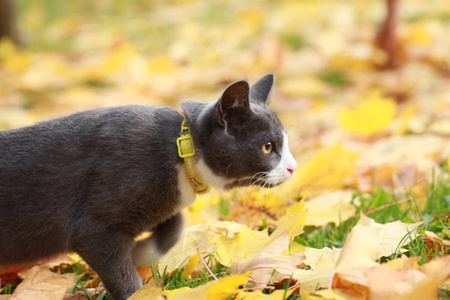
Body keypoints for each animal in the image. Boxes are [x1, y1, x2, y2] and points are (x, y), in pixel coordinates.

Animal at [0, 74, 298, 298]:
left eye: (284, 143)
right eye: (267, 147)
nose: (293, 167)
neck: (181, 152)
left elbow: (175, 223)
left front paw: (140, 252)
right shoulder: (94, 222)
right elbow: (112, 260)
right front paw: (135, 282)